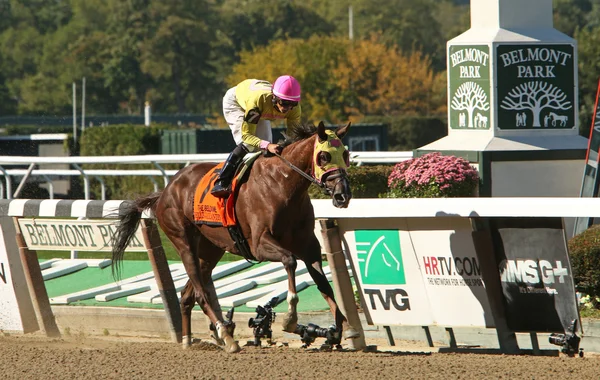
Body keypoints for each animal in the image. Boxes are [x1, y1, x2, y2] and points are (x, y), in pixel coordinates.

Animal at [110, 121, 358, 354]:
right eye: (324, 156)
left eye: (345, 155)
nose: (342, 195)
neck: (283, 185)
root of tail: (165, 191)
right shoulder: (259, 245)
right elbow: (289, 261)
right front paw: (291, 320)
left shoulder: (309, 246)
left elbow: (324, 284)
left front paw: (340, 329)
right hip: (183, 242)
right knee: (200, 293)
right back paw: (226, 337)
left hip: (210, 251)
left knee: (187, 294)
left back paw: (189, 340)